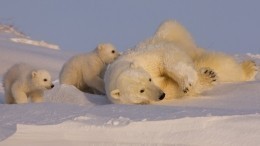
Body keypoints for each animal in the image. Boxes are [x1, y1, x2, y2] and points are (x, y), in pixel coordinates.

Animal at [104, 20, 256, 104]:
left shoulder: (145, 57)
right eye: (141, 90)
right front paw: (207, 77)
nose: (161, 95)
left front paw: (188, 82)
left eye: (149, 79)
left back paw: (249, 68)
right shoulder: (163, 91)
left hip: (172, 33)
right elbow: (174, 89)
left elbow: (166, 58)